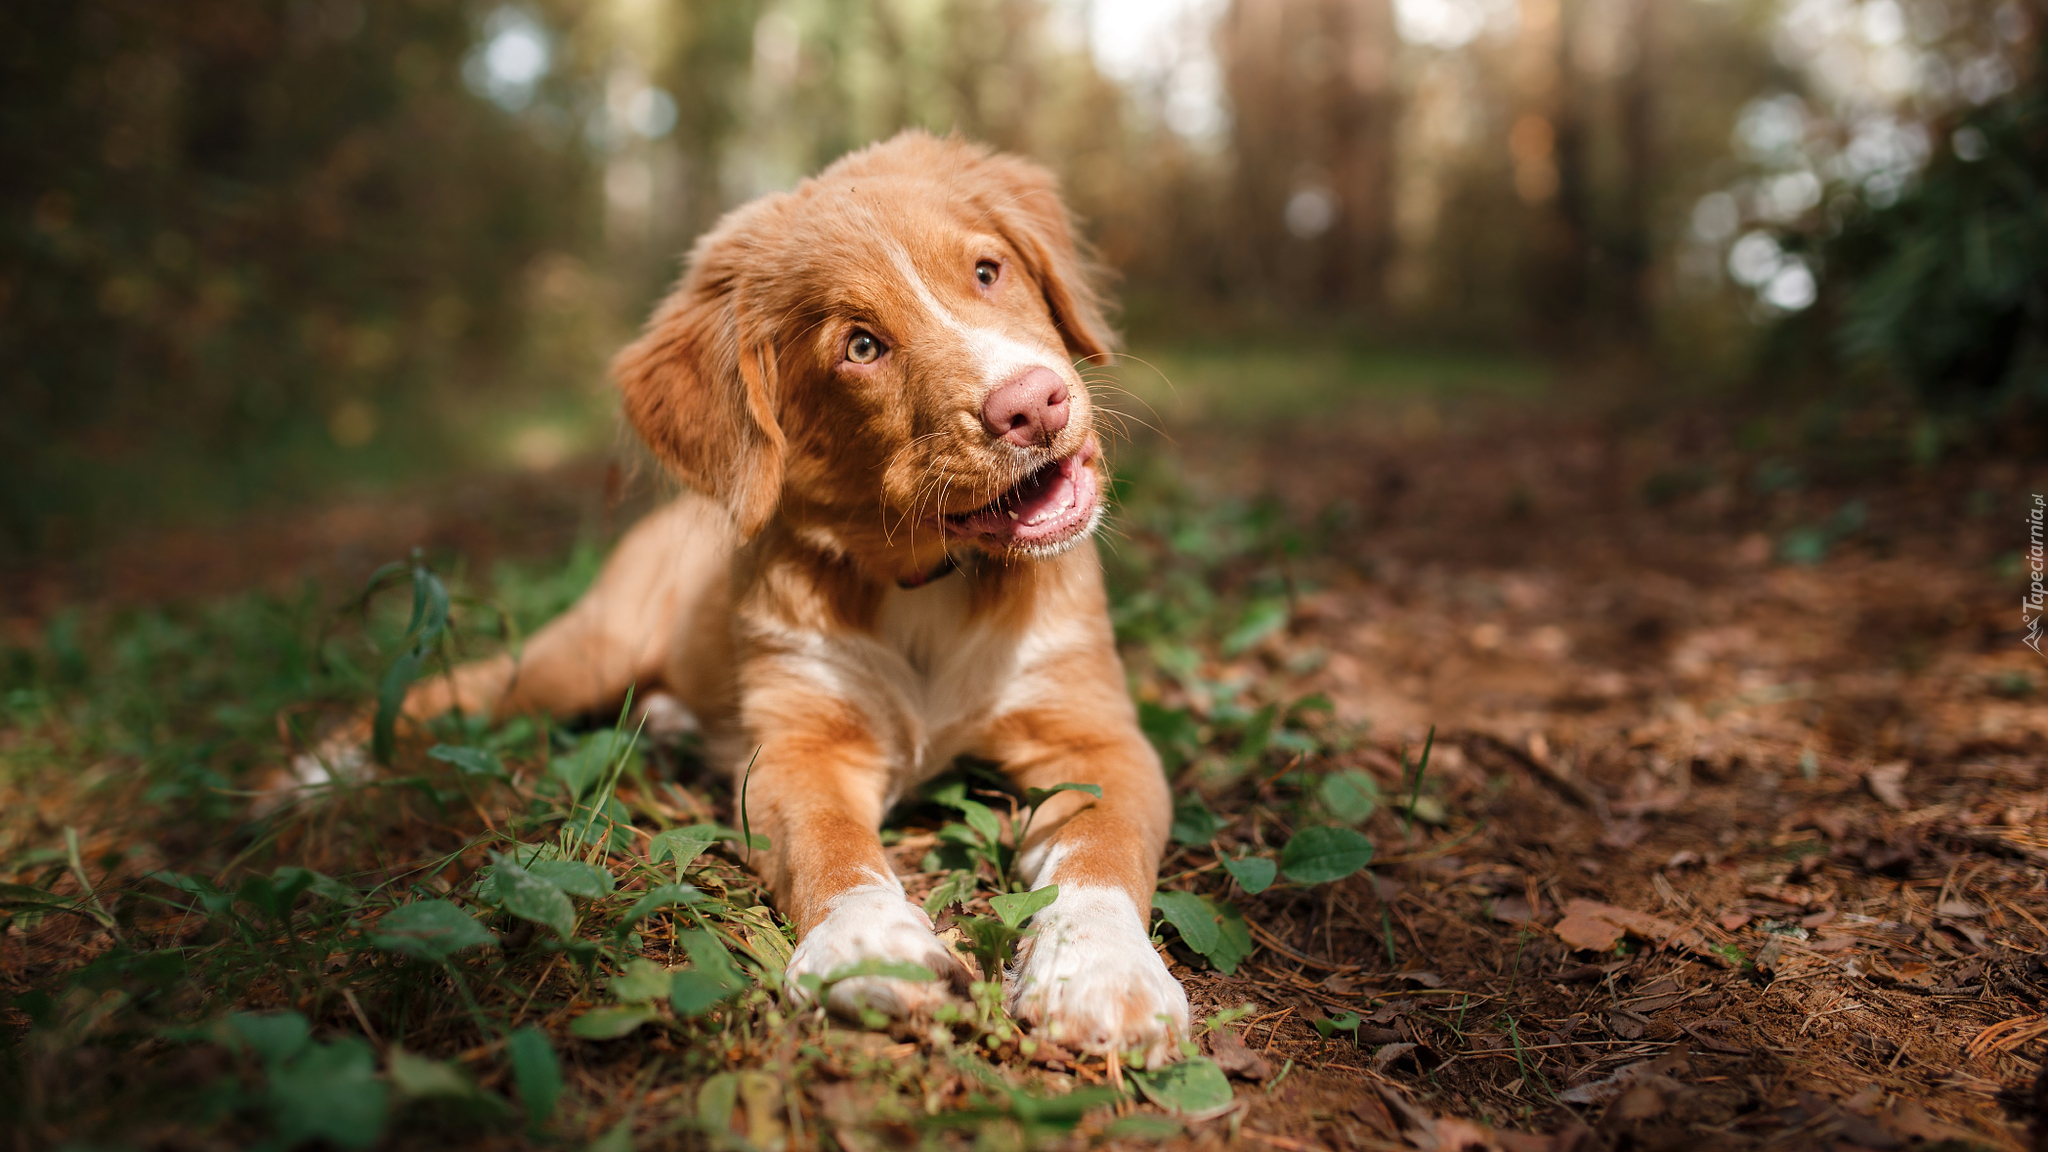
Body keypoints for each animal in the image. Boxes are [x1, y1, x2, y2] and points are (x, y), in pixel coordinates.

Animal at [385, 132, 1196, 1057]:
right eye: (861, 347)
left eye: (988, 272)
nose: (1032, 404)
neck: (930, 581)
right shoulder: (798, 747)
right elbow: (829, 844)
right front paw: (869, 946)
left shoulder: (1096, 735)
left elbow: (1103, 847)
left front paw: (1102, 968)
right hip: (585, 653)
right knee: (463, 690)